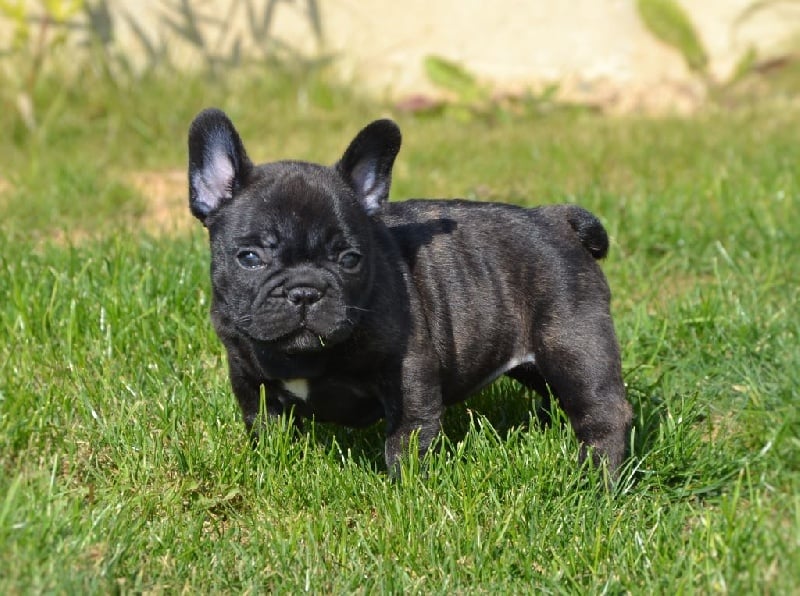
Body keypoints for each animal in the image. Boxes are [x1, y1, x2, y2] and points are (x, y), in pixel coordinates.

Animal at [188, 108, 632, 474]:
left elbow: (407, 437)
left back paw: (593, 480)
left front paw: (404, 489)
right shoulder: (250, 380)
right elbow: (264, 427)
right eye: (249, 258)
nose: (305, 291)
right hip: (537, 361)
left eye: (350, 259)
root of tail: (556, 219)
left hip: (573, 344)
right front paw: (272, 466)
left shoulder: (409, 374)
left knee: (603, 411)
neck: (305, 358)